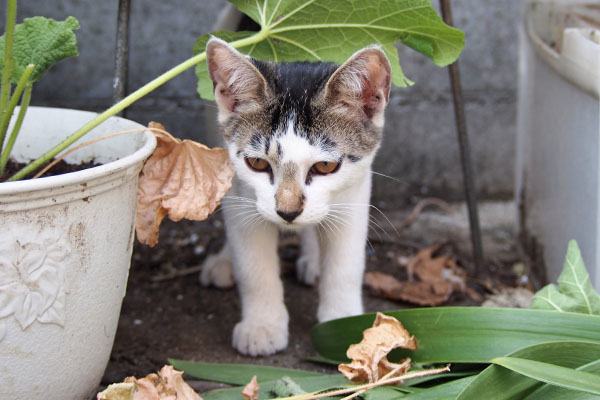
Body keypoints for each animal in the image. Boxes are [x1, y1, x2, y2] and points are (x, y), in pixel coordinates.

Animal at [199, 37, 392, 356]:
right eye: (257, 163)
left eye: (325, 166)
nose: (287, 212)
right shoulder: (240, 191)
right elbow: (253, 266)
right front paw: (262, 325)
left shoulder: (357, 188)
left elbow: (346, 264)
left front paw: (344, 323)